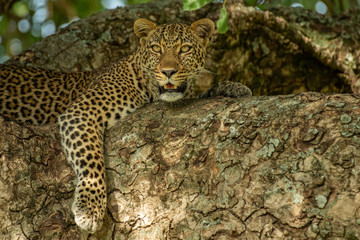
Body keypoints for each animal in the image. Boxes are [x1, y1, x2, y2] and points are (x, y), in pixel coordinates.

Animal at [0, 18, 252, 232]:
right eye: (156, 49)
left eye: (185, 49)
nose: (168, 72)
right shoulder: (81, 112)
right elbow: (91, 160)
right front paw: (90, 208)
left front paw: (232, 87)